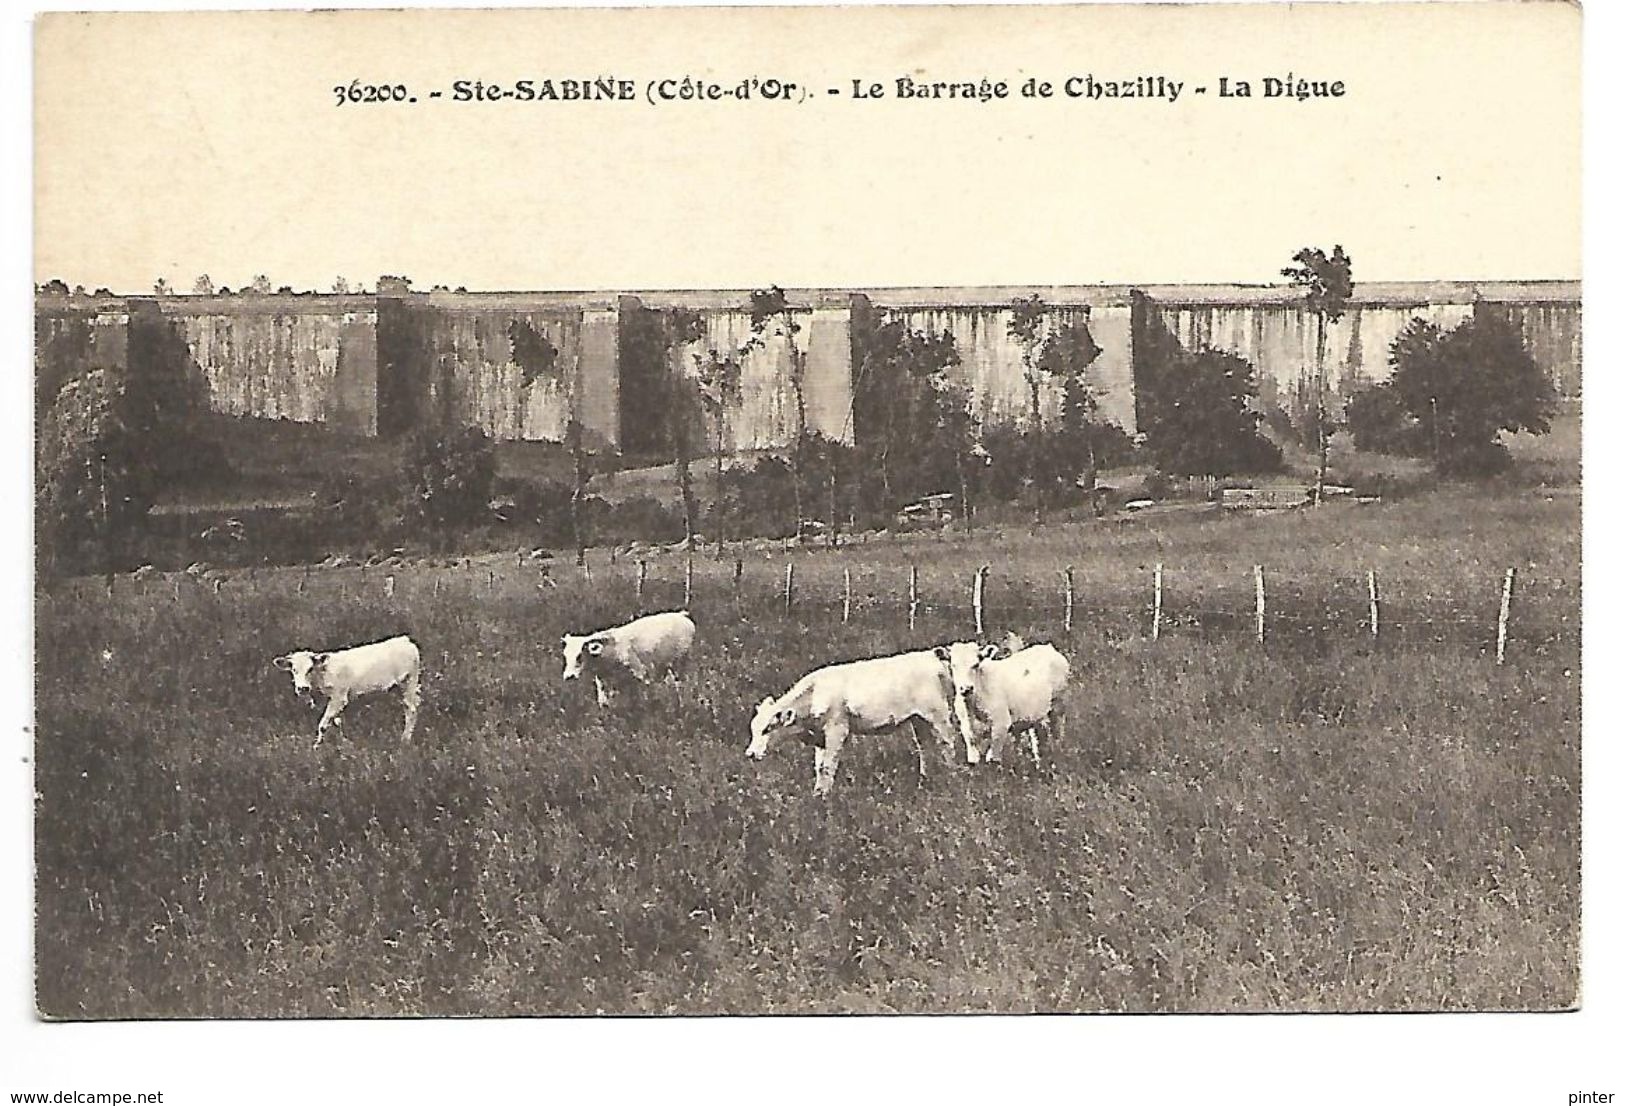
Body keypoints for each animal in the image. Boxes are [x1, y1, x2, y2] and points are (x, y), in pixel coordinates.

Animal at [271, 633, 419, 747]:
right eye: (294, 669)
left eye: (310, 668)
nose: (303, 688)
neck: (324, 673)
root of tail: (405, 640)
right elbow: (336, 721)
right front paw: (343, 742)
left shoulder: (339, 697)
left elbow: (323, 724)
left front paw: (317, 746)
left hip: (409, 682)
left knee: (411, 710)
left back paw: (405, 740)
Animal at [562, 607, 695, 701]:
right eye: (566, 656)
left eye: (579, 656)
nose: (569, 677)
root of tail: (681, 615)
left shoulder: (641, 676)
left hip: (681, 663)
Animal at [747, 646, 962, 792]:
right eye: (754, 729)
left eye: (767, 729)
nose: (750, 754)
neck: (815, 694)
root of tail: (933, 655)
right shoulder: (820, 737)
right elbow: (819, 766)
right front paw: (817, 793)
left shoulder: (837, 728)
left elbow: (827, 766)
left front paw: (824, 796)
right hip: (919, 719)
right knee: (924, 747)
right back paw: (923, 780)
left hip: (938, 715)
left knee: (948, 745)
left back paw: (952, 777)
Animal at [936, 639, 1072, 766]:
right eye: (953, 665)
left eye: (976, 664)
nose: (966, 688)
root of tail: (1048, 647)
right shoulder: (966, 727)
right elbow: (973, 756)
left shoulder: (1001, 724)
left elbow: (993, 758)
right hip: (1036, 715)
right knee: (1037, 739)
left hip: (1059, 705)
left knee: (1058, 735)